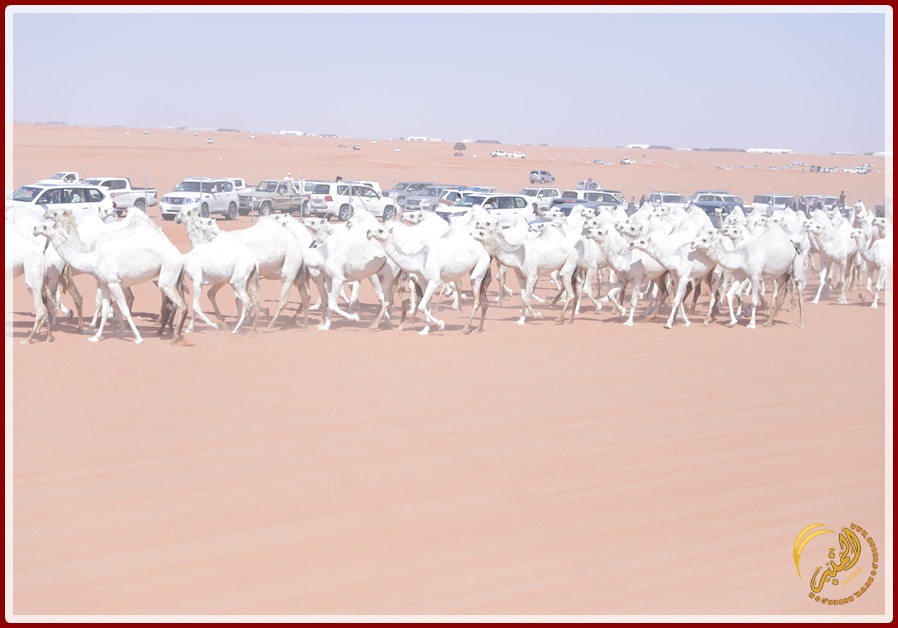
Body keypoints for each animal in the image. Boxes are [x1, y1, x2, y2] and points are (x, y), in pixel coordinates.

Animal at [33, 215, 188, 344]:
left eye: (45, 226)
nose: (34, 229)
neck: (92, 258)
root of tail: (181, 257)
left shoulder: (114, 283)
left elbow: (124, 309)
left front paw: (138, 338)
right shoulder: (104, 284)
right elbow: (106, 309)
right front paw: (96, 336)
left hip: (167, 274)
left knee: (180, 304)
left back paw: (174, 337)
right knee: (176, 304)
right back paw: (170, 333)